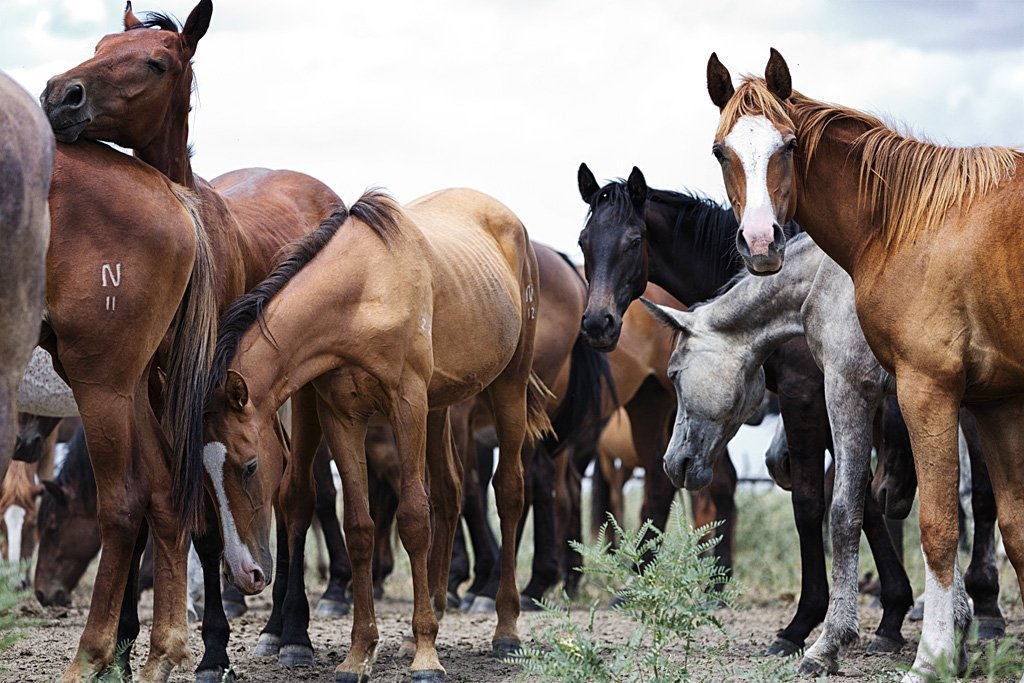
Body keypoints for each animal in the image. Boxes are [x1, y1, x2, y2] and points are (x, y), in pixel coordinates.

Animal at [202, 188, 548, 683]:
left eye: (249, 466)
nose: (242, 574)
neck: (363, 292)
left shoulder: (408, 404)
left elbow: (413, 519)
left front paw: (427, 656)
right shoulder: (343, 417)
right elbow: (360, 527)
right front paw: (359, 653)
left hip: (508, 385)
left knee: (509, 492)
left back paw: (505, 631)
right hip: (441, 406)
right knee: (449, 492)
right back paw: (429, 621)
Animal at [708, 49, 1024, 683]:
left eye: (788, 145)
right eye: (720, 151)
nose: (761, 242)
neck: (910, 224)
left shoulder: (924, 389)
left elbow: (935, 524)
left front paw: (931, 656)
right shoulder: (995, 402)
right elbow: (1012, 527)